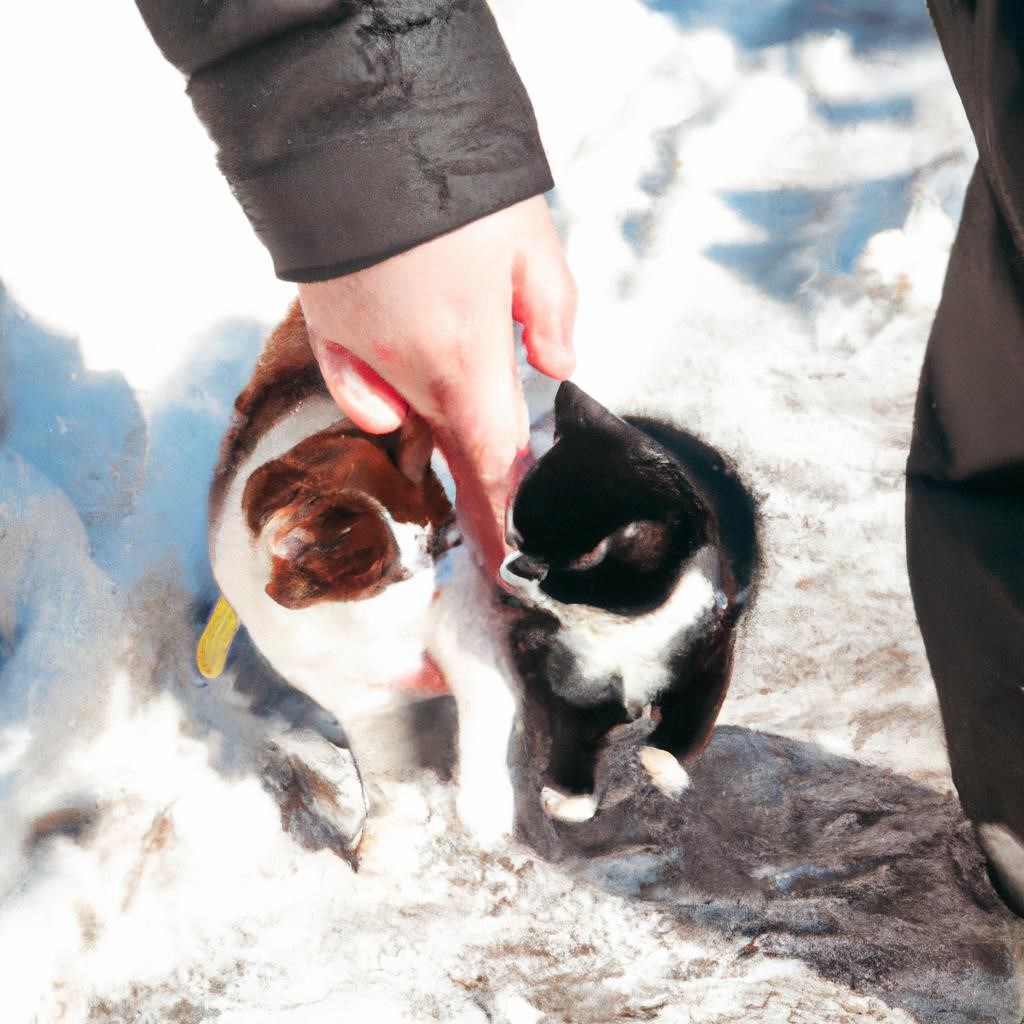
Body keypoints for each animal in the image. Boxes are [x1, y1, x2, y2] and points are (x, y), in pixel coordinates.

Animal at [428, 380, 757, 843]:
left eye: (555, 571)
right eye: (514, 540)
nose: (514, 566)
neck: (625, 630)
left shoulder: (711, 650)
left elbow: (691, 721)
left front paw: (662, 766)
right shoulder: (569, 676)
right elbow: (573, 736)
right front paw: (571, 797)